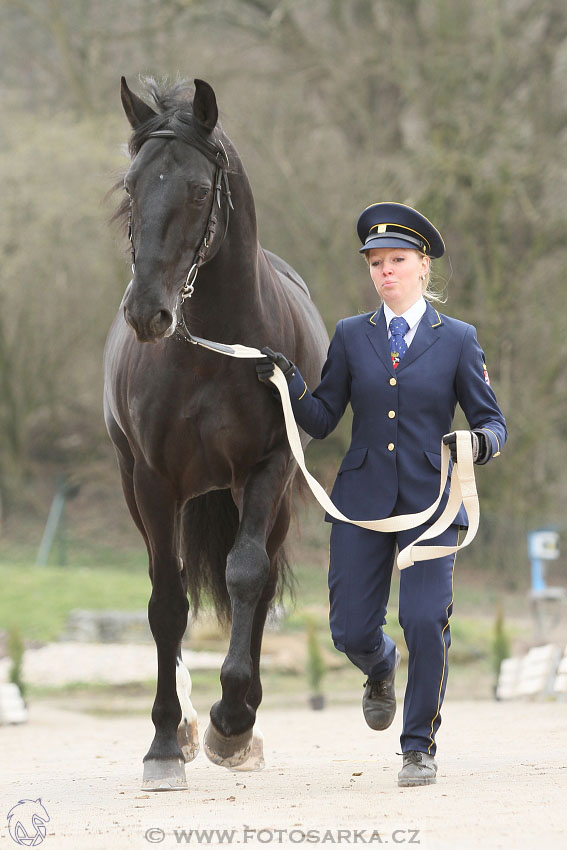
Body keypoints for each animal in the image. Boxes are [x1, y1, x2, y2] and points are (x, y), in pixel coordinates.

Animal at [103, 79, 328, 788]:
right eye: (132, 184)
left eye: (201, 190)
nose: (147, 311)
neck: (209, 353)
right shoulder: (153, 483)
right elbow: (166, 602)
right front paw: (164, 742)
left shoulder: (266, 469)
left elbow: (247, 576)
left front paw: (233, 720)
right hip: (143, 491)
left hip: (267, 497)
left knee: (259, 581)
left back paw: (240, 723)